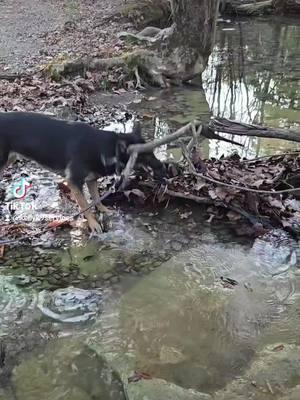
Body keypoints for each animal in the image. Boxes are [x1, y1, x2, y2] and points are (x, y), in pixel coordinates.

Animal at [0, 111, 164, 231]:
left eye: (152, 152)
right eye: (145, 155)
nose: (162, 166)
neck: (104, 149)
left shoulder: (91, 180)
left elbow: (96, 198)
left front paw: (104, 210)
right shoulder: (74, 182)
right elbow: (85, 206)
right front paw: (93, 224)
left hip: (9, 160)